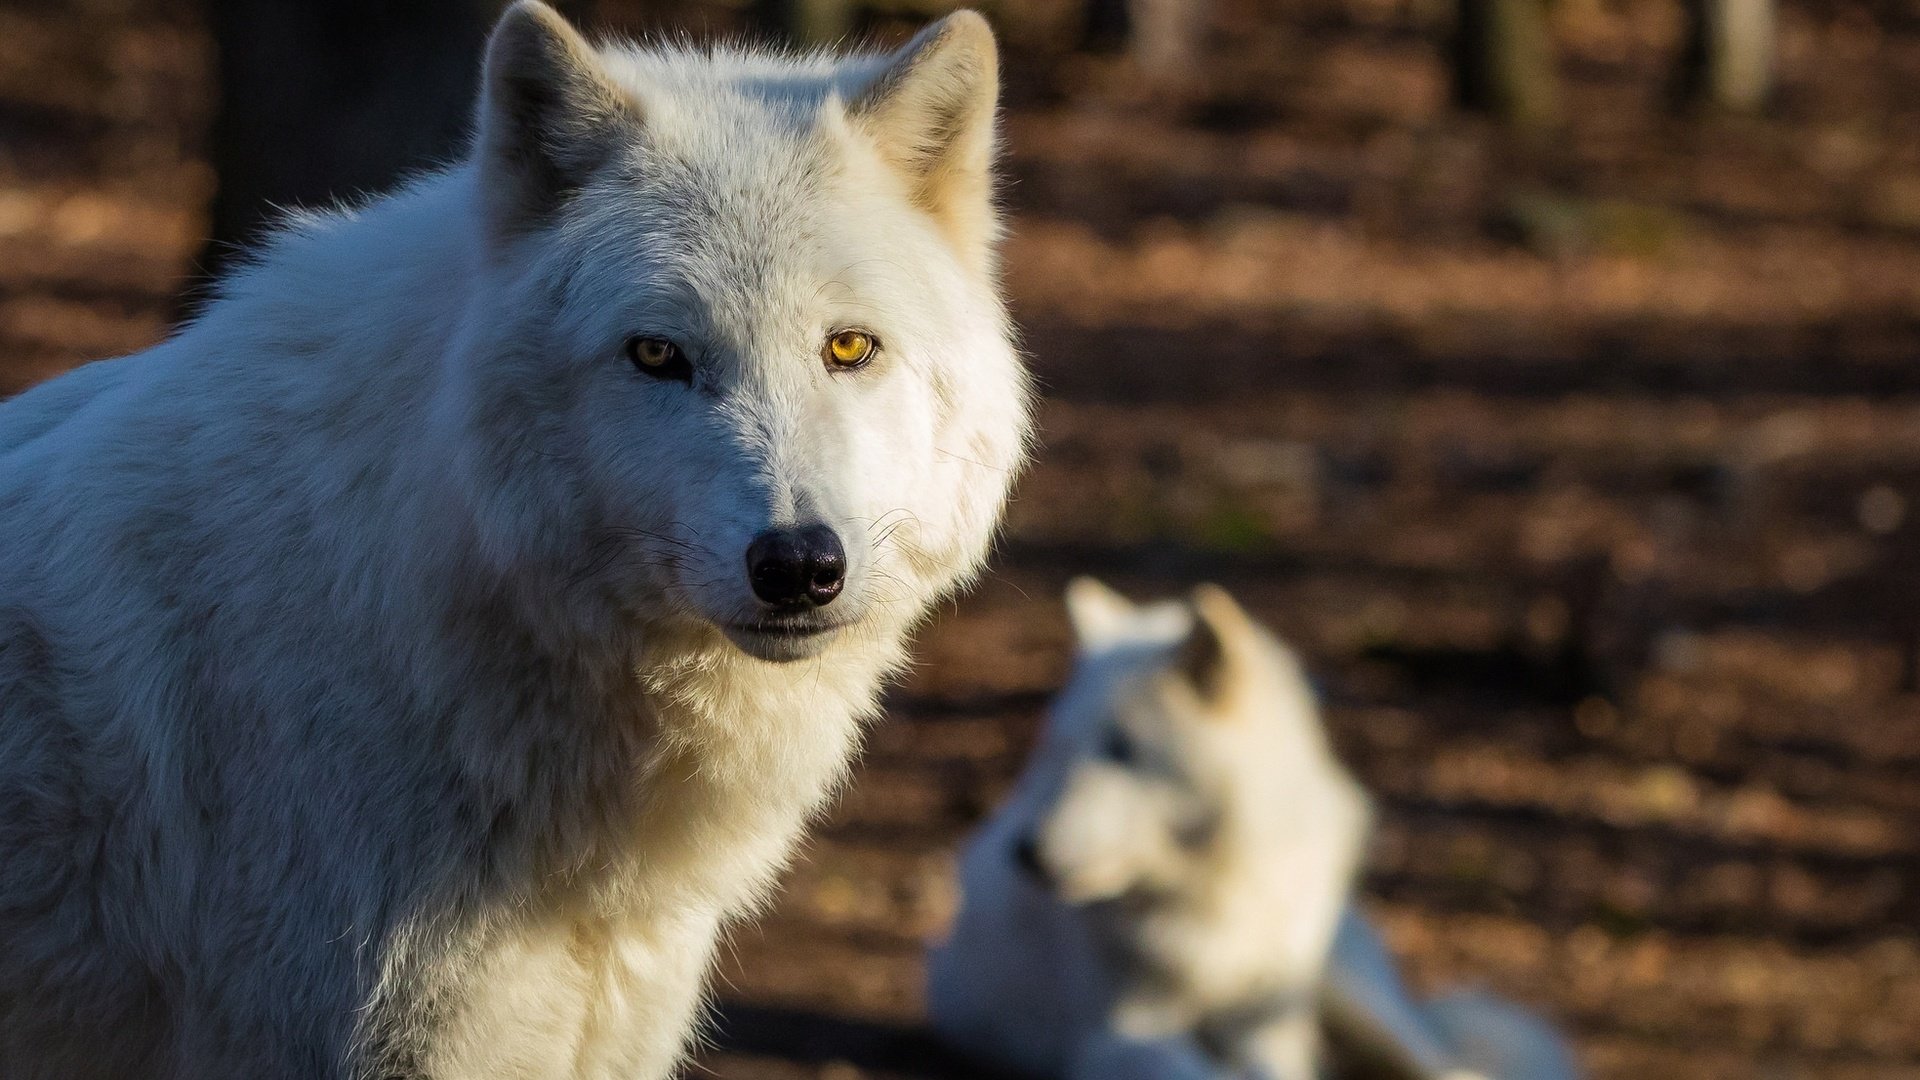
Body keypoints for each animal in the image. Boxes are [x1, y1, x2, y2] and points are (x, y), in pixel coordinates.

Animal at [925, 580, 1574, 1076]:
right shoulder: (1118, 1038)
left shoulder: (1270, 1029)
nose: (1025, 853)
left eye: (1122, 750)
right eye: (1057, 749)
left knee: (1441, 1061)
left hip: (1349, 990)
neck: (1212, 901)